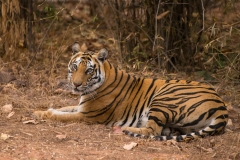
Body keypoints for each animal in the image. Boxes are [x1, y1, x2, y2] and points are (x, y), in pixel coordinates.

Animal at [32, 42, 228, 141]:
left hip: (165, 96)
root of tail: (222, 109)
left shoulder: (88, 115)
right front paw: (42, 110)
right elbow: (62, 108)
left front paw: (40, 114)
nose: (76, 85)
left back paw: (124, 128)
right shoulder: (81, 107)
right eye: (74, 67)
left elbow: (61, 116)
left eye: (88, 70)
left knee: (152, 130)